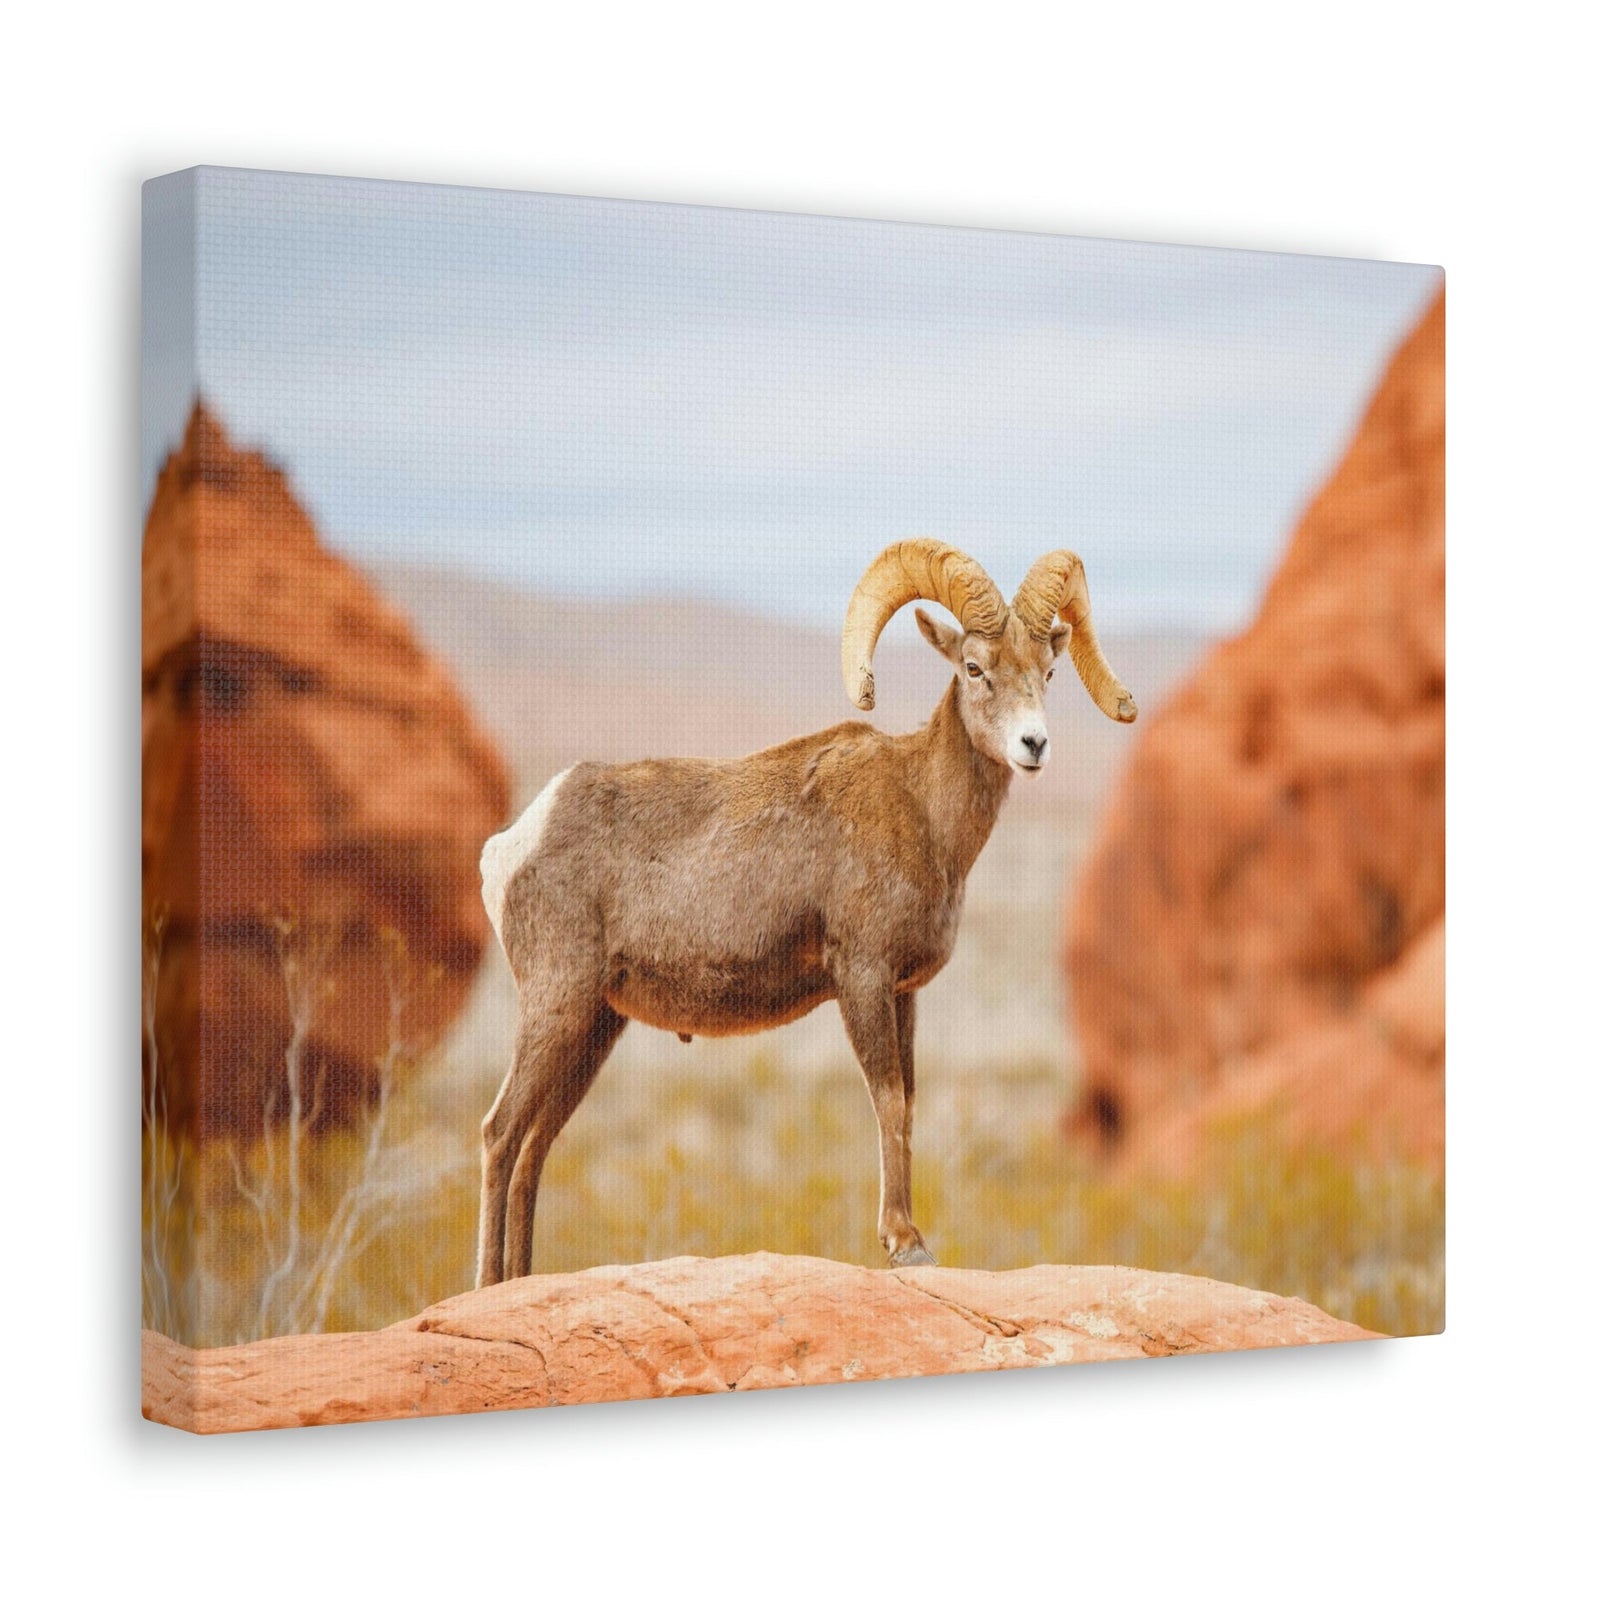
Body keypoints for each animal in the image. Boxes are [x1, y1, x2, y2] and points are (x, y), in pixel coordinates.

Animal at [475, 539, 1137, 1285]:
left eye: (1048, 671)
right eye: (974, 668)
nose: (1033, 746)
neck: (924, 813)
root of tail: (513, 844)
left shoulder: (902, 993)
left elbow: (908, 1102)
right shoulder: (863, 979)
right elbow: (887, 1098)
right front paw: (905, 1242)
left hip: (594, 1027)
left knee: (535, 1144)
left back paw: (520, 1281)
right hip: (556, 1008)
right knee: (501, 1134)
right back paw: (488, 1284)